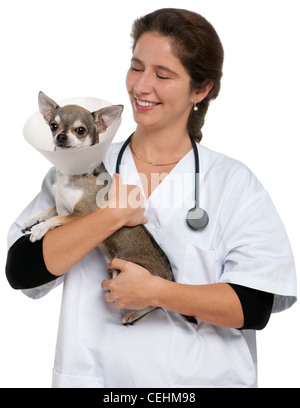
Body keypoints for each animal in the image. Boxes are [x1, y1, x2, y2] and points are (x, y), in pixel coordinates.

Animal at [23, 92, 197, 326]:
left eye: (80, 130)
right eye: (53, 125)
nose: (60, 136)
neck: (73, 174)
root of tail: (169, 278)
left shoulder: (81, 215)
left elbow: (54, 219)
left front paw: (40, 230)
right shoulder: (61, 208)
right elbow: (48, 210)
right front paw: (31, 220)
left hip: (125, 274)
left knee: (156, 303)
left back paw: (132, 314)